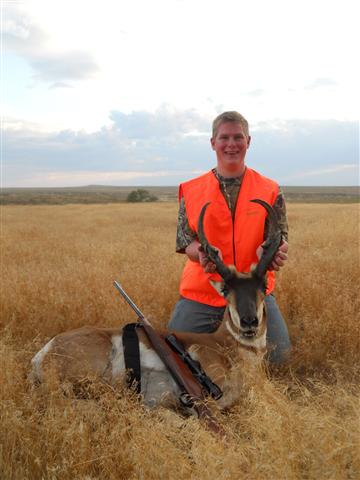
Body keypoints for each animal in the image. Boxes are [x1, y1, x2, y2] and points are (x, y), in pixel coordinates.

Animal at [30, 201, 282, 414]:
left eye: (263, 285)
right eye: (226, 289)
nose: (249, 322)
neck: (222, 345)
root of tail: (44, 352)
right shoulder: (206, 398)